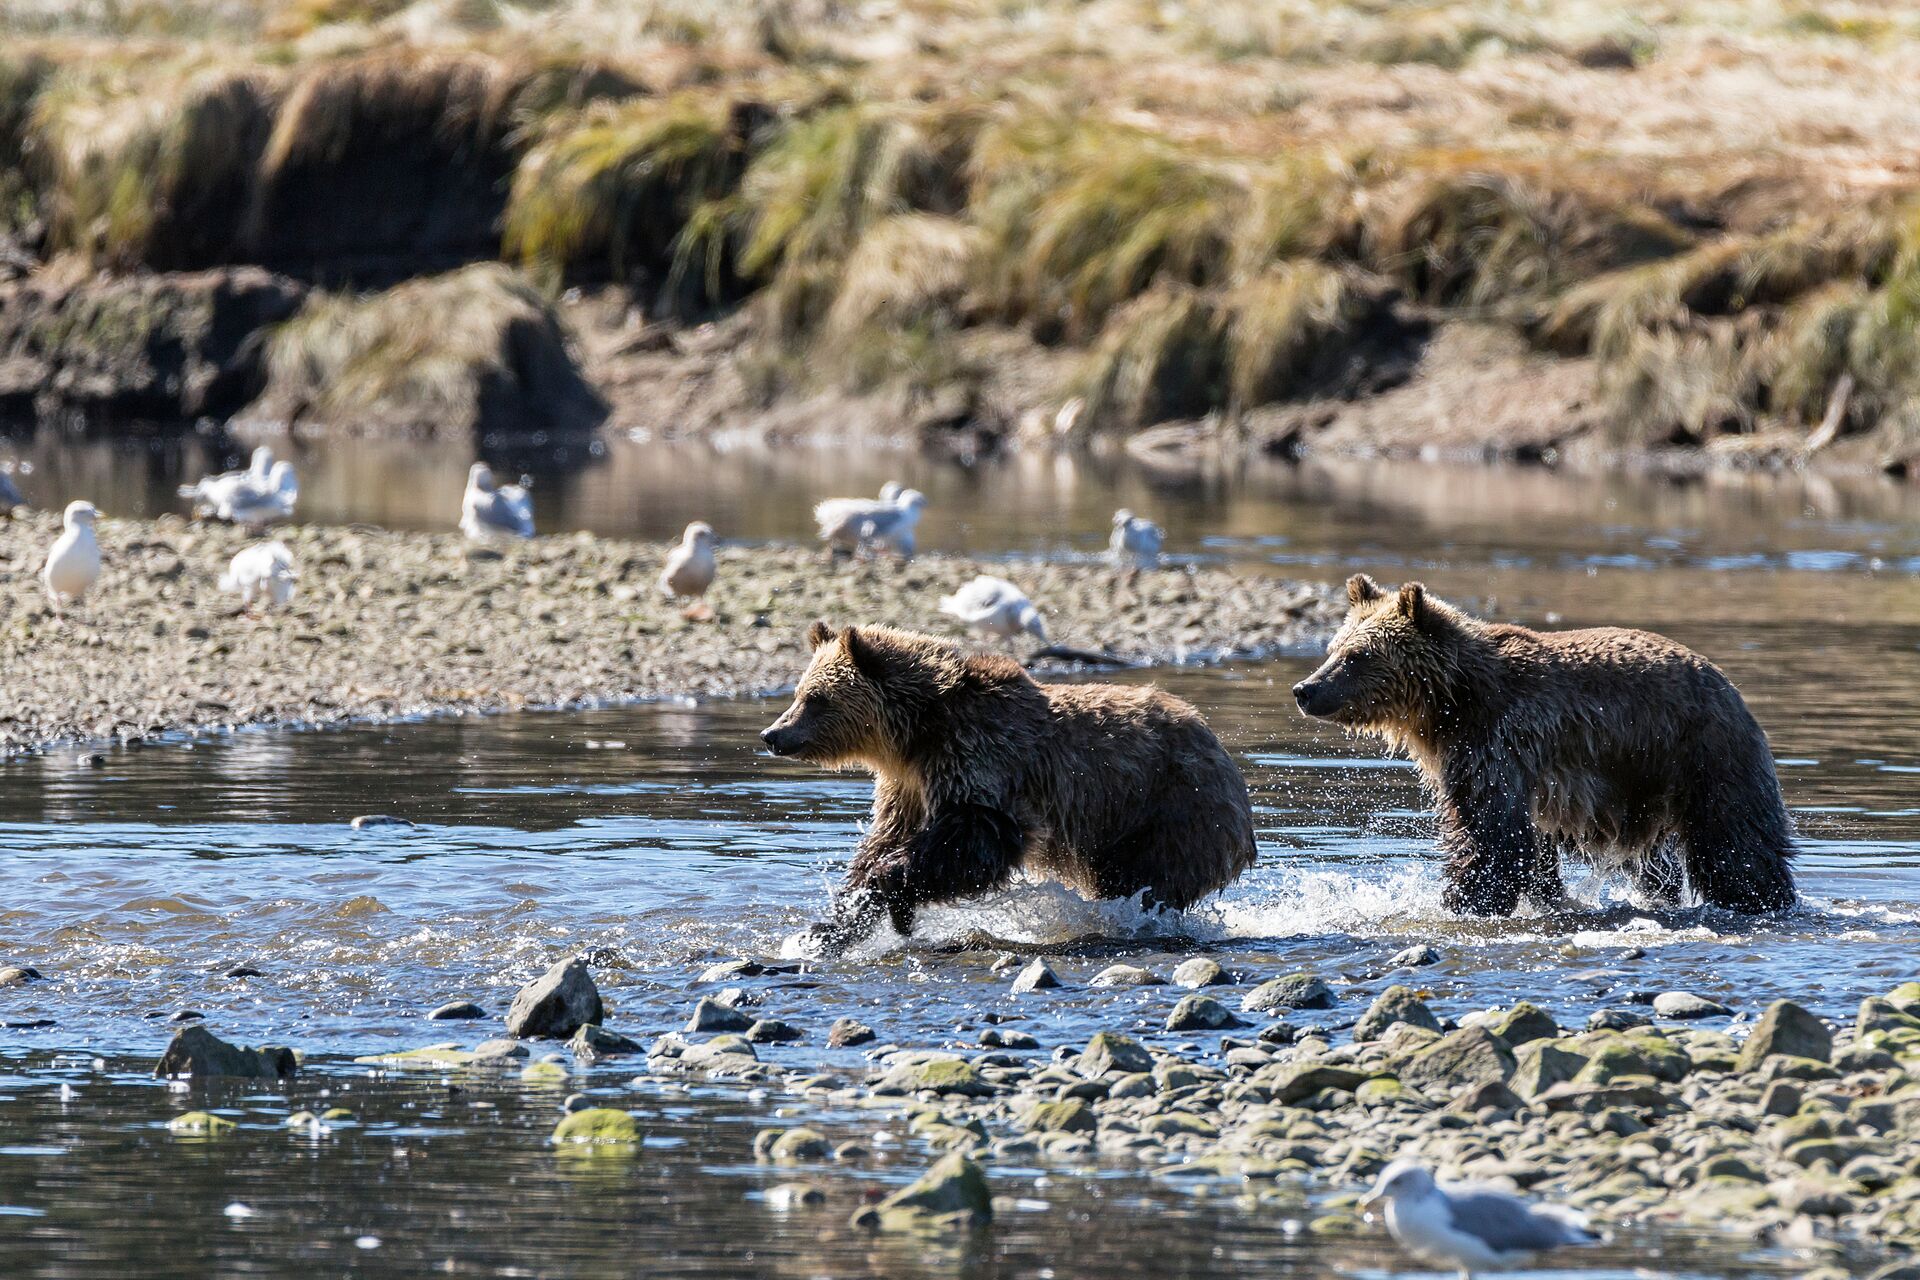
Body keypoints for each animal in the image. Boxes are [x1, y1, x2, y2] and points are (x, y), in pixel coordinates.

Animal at [760, 621, 1258, 953]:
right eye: (800, 692)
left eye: (815, 698)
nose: (773, 735)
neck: (917, 732)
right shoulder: (909, 786)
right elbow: (882, 843)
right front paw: (829, 926)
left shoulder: (980, 759)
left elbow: (978, 837)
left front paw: (892, 896)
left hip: (1169, 810)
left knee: (1143, 882)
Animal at [1291, 574, 1796, 916]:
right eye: (1332, 649)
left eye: (1357, 656)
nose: (1305, 689)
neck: (1449, 704)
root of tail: (1727, 686)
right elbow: (1526, 844)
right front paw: (1543, 895)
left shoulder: (1496, 741)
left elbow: (1486, 833)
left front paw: (1460, 899)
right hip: (1642, 785)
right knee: (1659, 864)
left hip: (1702, 754)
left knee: (1737, 840)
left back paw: (1760, 897)